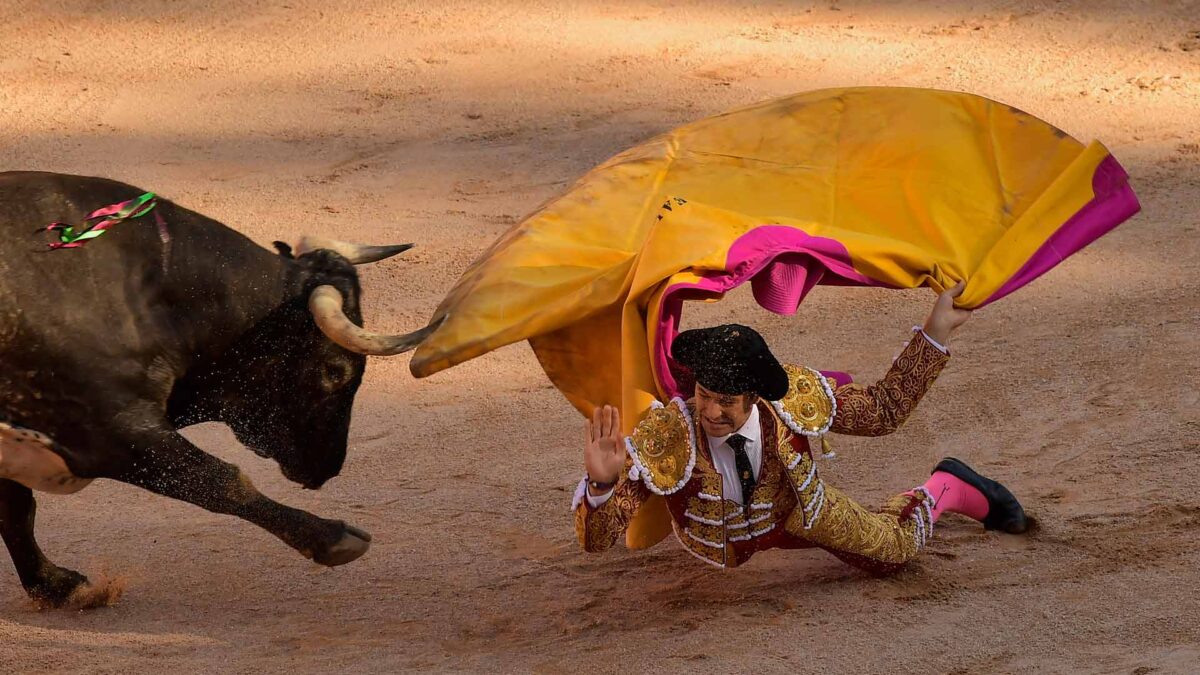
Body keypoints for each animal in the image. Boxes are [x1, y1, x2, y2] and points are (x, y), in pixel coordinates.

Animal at [0, 171, 441, 605]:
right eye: (335, 371)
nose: (328, 468)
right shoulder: (114, 431)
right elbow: (218, 479)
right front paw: (334, 537)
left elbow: (17, 511)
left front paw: (55, 586)